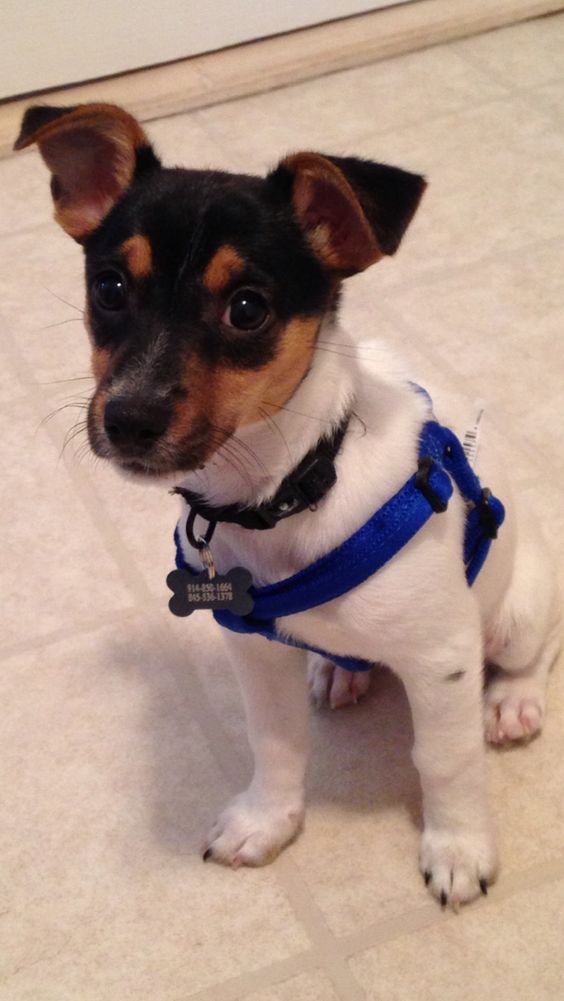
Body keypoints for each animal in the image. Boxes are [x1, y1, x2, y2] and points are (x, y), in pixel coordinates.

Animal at [16, 105, 560, 912]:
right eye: (110, 287)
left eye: (248, 308)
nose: (129, 419)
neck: (291, 489)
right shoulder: (254, 650)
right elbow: (274, 742)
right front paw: (266, 821)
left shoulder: (444, 661)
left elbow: (445, 759)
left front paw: (459, 849)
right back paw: (340, 671)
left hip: (520, 607)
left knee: (535, 651)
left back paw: (513, 703)